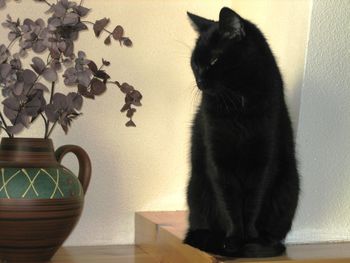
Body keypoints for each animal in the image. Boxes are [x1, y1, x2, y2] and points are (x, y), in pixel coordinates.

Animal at [185, 7, 300, 258]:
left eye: (213, 60)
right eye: (194, 64)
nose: (199, 81)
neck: (238, 102)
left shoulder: (265, 159)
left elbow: (255, 202)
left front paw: (251, 238)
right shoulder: (217, 160)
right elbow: (229, 203)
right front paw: (234, 239)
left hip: (289, 188)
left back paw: (264, 241)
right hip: (196, 188)